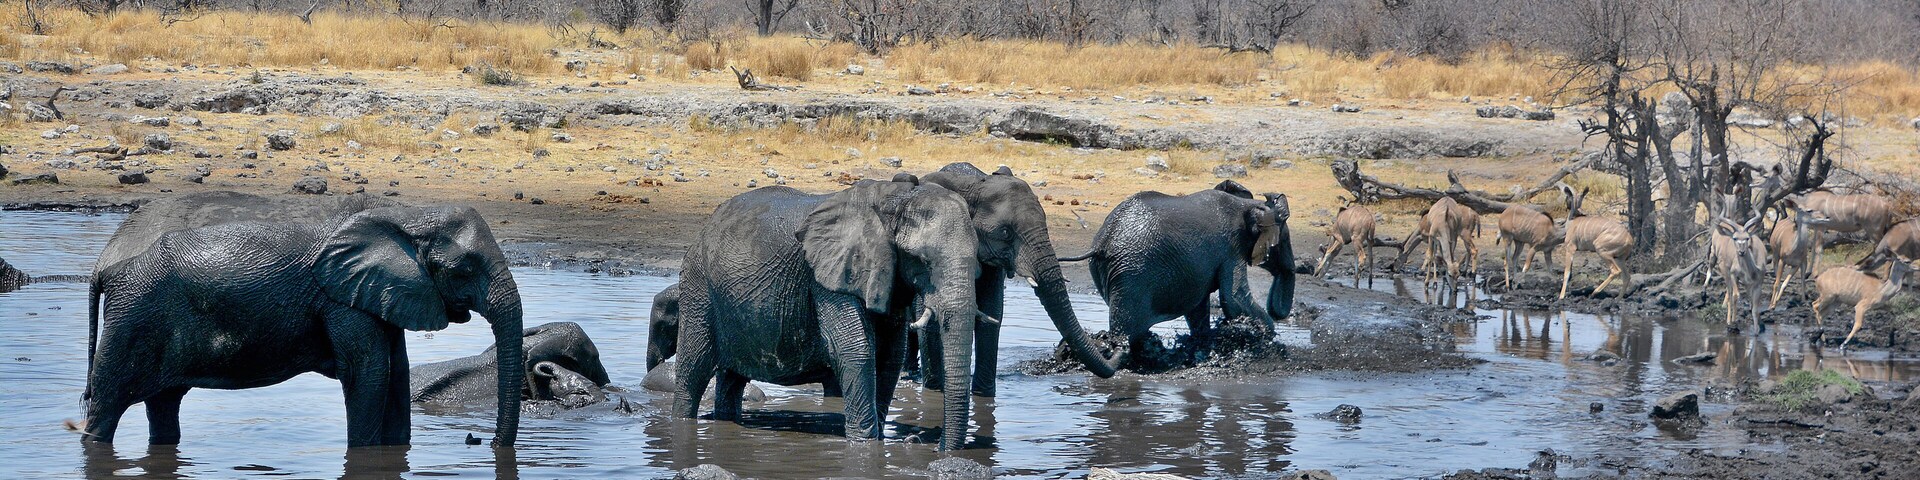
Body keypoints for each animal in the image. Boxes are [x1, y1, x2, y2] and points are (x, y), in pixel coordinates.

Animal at [83, 206, 526, 448]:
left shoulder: (377, 295)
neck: (404, 218)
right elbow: (369, 374)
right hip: (132, 319)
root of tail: (107, 271)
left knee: (163, 405)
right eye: (464, 269)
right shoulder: (341, 300)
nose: (481, 441)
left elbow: (395, 374)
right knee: (106, 407)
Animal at [673, 178, 981, 450]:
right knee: (693, 370)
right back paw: (682, 423)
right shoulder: (830, 278)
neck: (896, 199)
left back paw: (726, 422)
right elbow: (857, 351)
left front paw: (880, 438)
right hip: (699, 288)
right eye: (921, 259)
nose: (927, 443)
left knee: (731, 379)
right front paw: (865, 447)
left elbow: (890, 357)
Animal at [1061, 180, 1296, 359]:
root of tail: (1101, 244)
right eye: (1282, 240)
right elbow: (1235, 298)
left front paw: (1203, 343)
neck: (1248, 204)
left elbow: (1199, 308)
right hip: (1133, 276)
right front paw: (1268, 337)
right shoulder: (1231, 247)